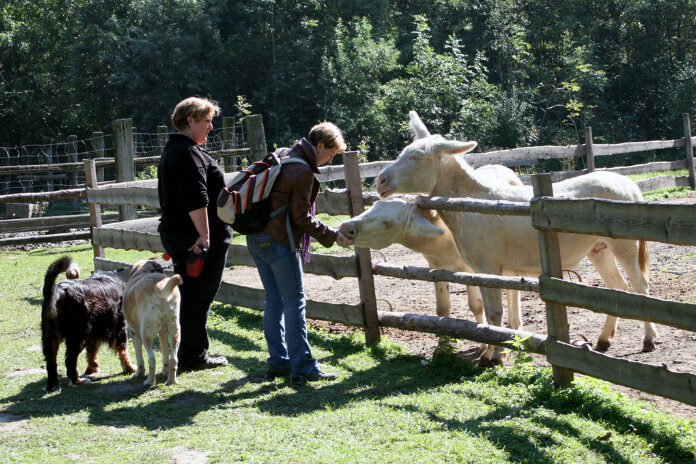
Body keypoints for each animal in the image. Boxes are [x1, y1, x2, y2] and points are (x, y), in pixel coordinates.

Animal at [41, 258, 135, 392]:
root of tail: (59, 291)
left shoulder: (93, 334)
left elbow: (91, 352)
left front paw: (92, 367)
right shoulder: (118, 328)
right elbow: (123, 351)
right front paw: (129, 368)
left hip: (50, 337)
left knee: (51, 362)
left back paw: (51, 385)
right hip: (78, 335)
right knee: (70, 360)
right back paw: (78, 381)